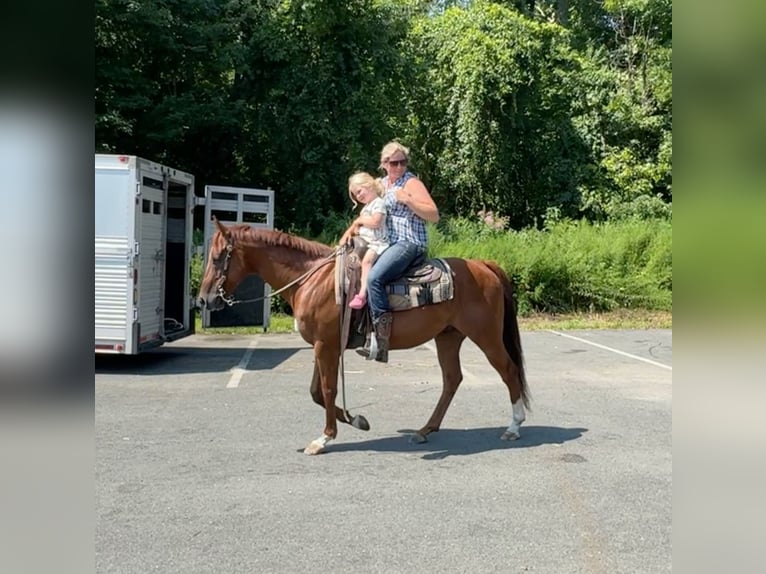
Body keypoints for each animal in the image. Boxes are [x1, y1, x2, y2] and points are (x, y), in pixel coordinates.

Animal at [198, 218, 532, 456]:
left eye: (216, 258)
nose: (203, 300)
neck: (313, 280)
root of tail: (483, 265)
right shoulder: (323, 345)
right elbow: (316, 392)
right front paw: (357, 421)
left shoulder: (326, 346)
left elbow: (328, 390)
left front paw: (324, 438)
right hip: (448, 338)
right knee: (453, 379)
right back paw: (425, 430)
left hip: (486, 336)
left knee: (508, 370)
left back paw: (514, 427)